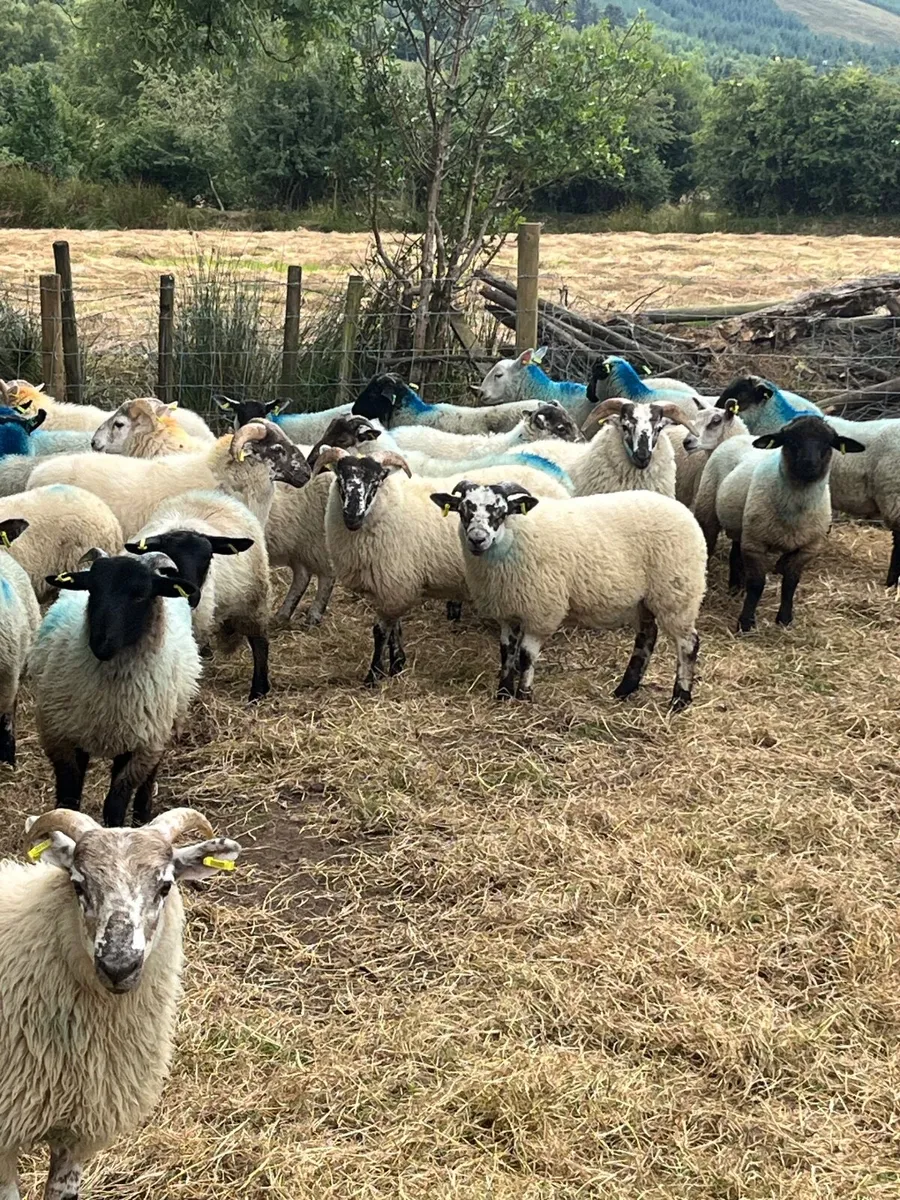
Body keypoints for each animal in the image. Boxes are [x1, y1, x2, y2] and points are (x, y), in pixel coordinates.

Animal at [29, 553, 203, 826]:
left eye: (141, 595)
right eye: (92, 589)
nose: (101, 644)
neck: (109, 696)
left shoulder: (139, 748)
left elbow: (115, 804)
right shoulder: (61, 738)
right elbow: (68, 799)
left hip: (163, 728)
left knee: (149, 780)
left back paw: (142, 817)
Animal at [126, 490, 271, 700]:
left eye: (209, 558)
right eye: (168, 562)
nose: (192, 595)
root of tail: (209, 494)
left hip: (254, 600)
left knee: (260, 643)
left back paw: (258, 691)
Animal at [316, 447, 570, 685]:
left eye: (376, 481)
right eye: (339, 478)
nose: (352, 516)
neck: (391, 506)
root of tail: (558, 483)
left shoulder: (394, 583)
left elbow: (380, 632)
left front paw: (374, 675)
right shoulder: (393, 586)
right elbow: (395, 628)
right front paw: (397, 665)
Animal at [431, 481, 706, 711]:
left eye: (500, 511)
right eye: (463, 510)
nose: (477, 539)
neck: (516, 533)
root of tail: (683, 511)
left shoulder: (541, 609)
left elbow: (526, 655)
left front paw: (524, 695)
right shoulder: (507, 609)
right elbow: (506, 652)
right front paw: (503, 693)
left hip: (677, 592)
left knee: (688, 643)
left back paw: (679, 699)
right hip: (644, 600)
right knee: (647, 637)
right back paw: (624, 690)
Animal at [694, 415, 865, 632]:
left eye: (828, 443)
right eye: (790, 440)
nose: (809, 464)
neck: (795, 509)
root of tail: (740, 437)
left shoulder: (807, 548)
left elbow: (790, 582)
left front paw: (784, 619)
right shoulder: (755, 544)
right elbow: (757, 584)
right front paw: (746, 623)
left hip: (742, 524)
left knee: (735, 554)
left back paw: (735, 589)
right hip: (709, 511)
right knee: (709, 545)